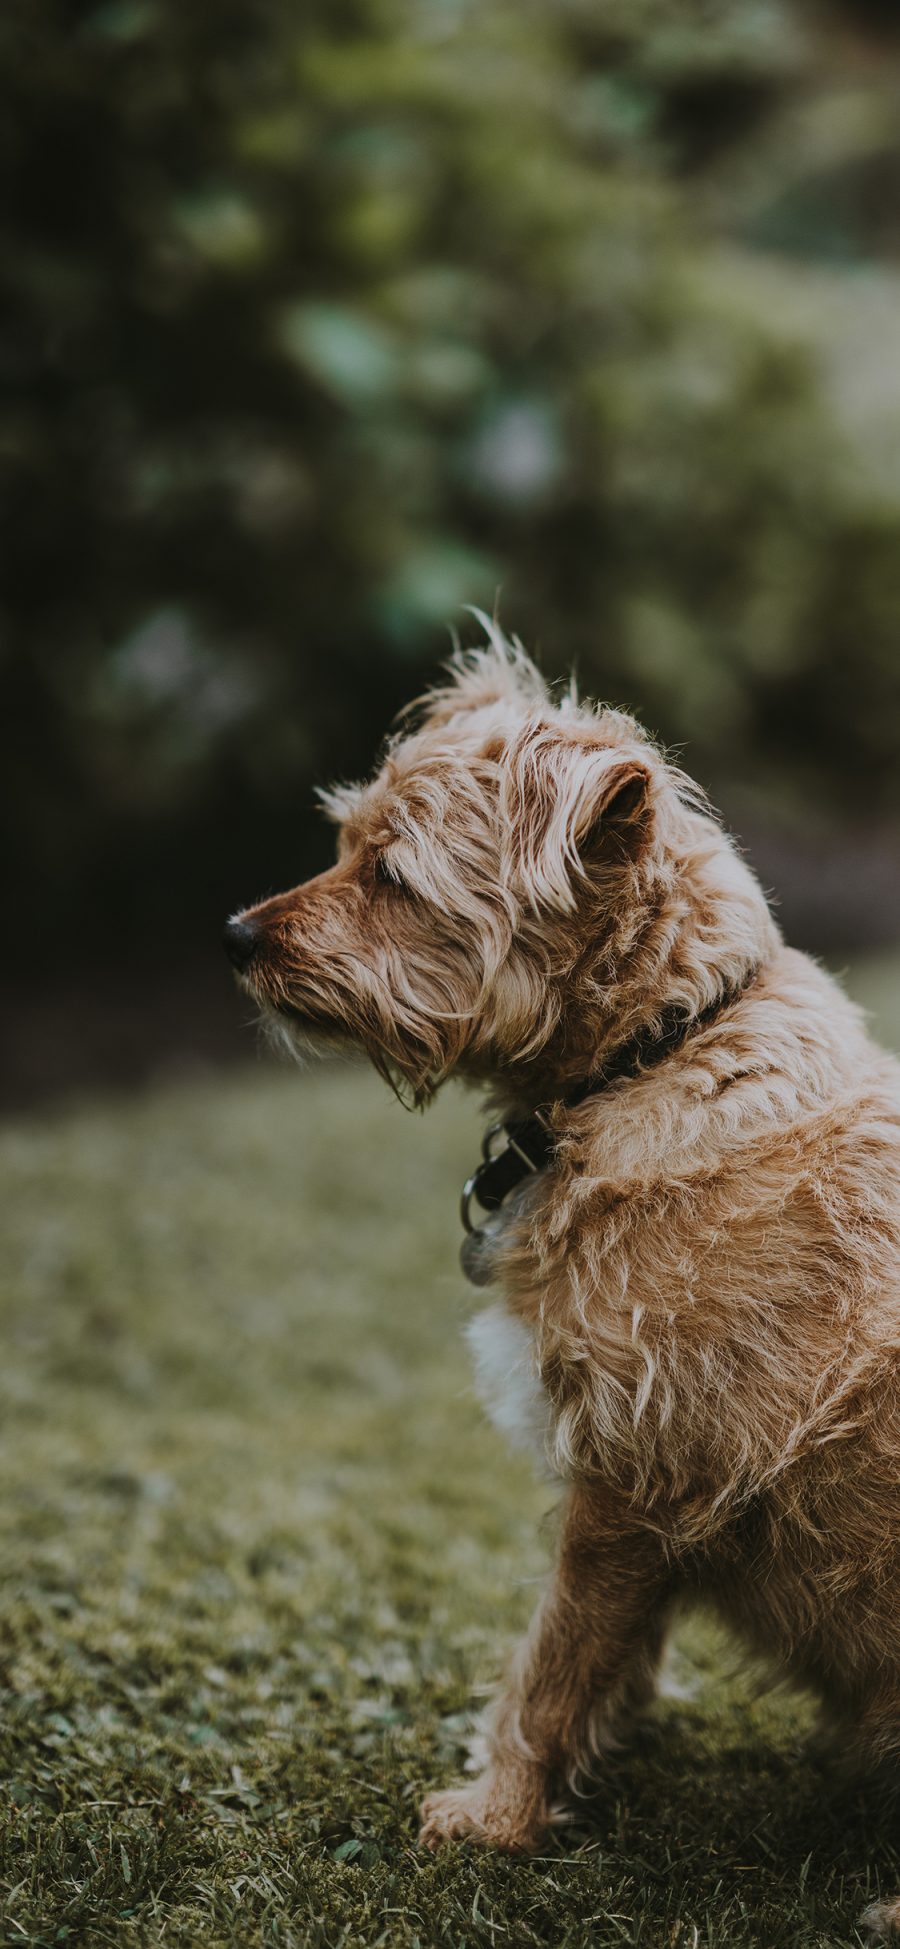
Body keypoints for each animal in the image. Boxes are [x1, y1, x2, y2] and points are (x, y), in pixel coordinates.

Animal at [225, 631, 900, 1941]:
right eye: (345, 840)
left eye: (392, 873)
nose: (233, 932)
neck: (659, 1053)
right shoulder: (639, 1490)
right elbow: (603, 1652)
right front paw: (598, 1753)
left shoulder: (633, 1477)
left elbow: (552, 1658)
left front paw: (498, 1813)